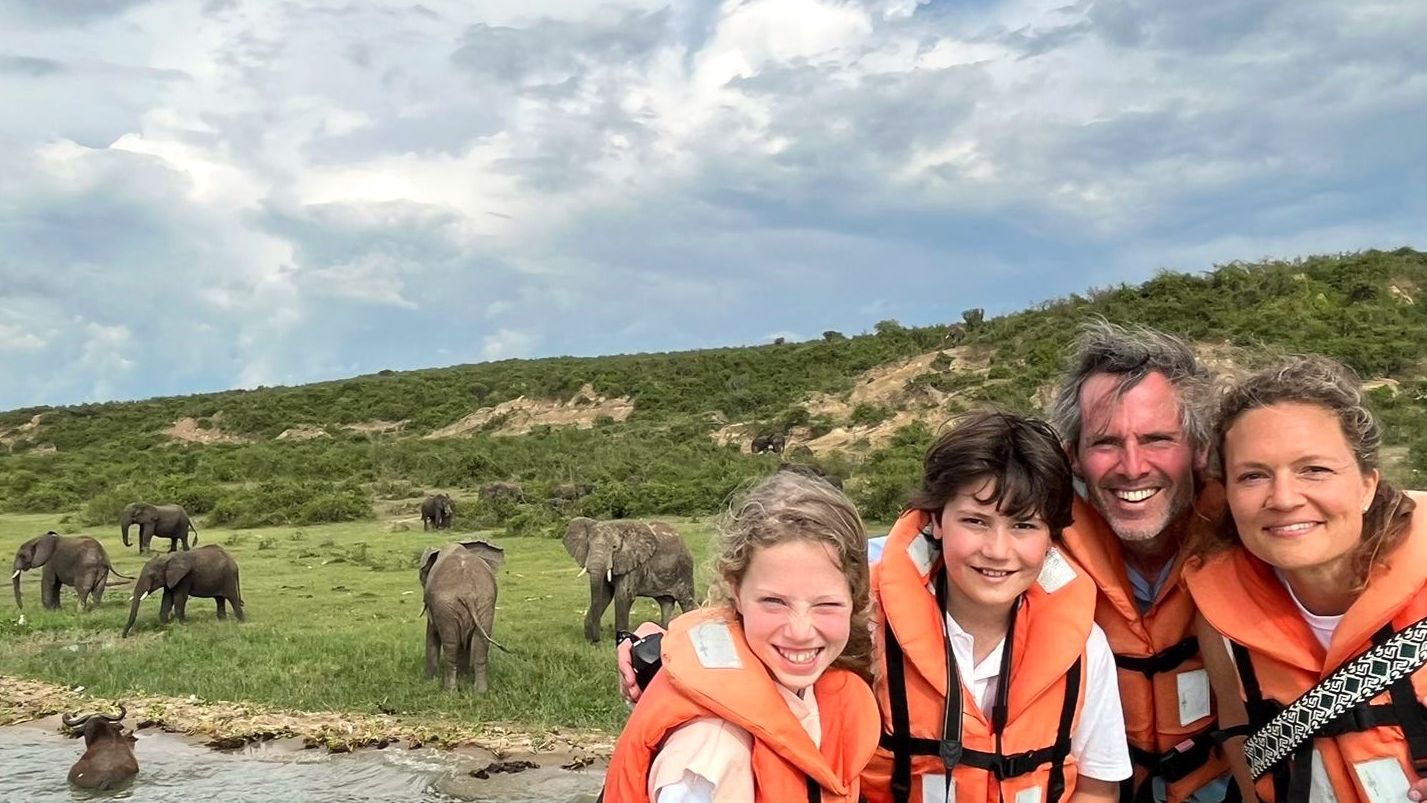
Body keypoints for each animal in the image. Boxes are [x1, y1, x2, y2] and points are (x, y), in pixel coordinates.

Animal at [416, 539, 505, 690]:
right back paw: (480, 691)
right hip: (485, 601)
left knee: (450, 645)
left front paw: (429, 680)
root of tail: (467, 593)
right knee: (481, 643)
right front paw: (464, 677)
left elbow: (432, 634)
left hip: (446, 605)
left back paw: (450, 690)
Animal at [559, 519, 693, 644]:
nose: (596, 642)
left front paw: (621, 641)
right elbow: (604, 596)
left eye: (614, 547)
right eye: (588, 545)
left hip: (684, 569)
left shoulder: (634, 564)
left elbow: (623, 596)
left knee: (687, 602)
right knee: (666, 603)